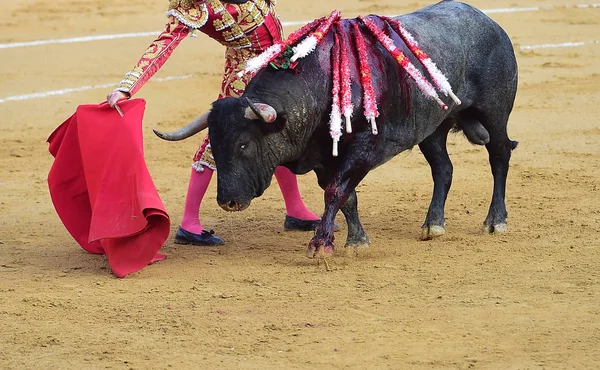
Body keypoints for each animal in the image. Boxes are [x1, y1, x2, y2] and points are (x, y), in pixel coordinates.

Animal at [157, 0, 516, 258]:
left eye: (244, 144)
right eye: (215, 144)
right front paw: (356, 241)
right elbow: (346, 196)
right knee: (443, 168)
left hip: (495, 113)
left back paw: (495, 221)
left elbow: (336, 191)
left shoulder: (365, 148)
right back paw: (433, 224)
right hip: (433, 129)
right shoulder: (323, 158)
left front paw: (320, 244)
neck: (318, 84)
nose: (228, 201)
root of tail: (488, 21)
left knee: (499, 156)